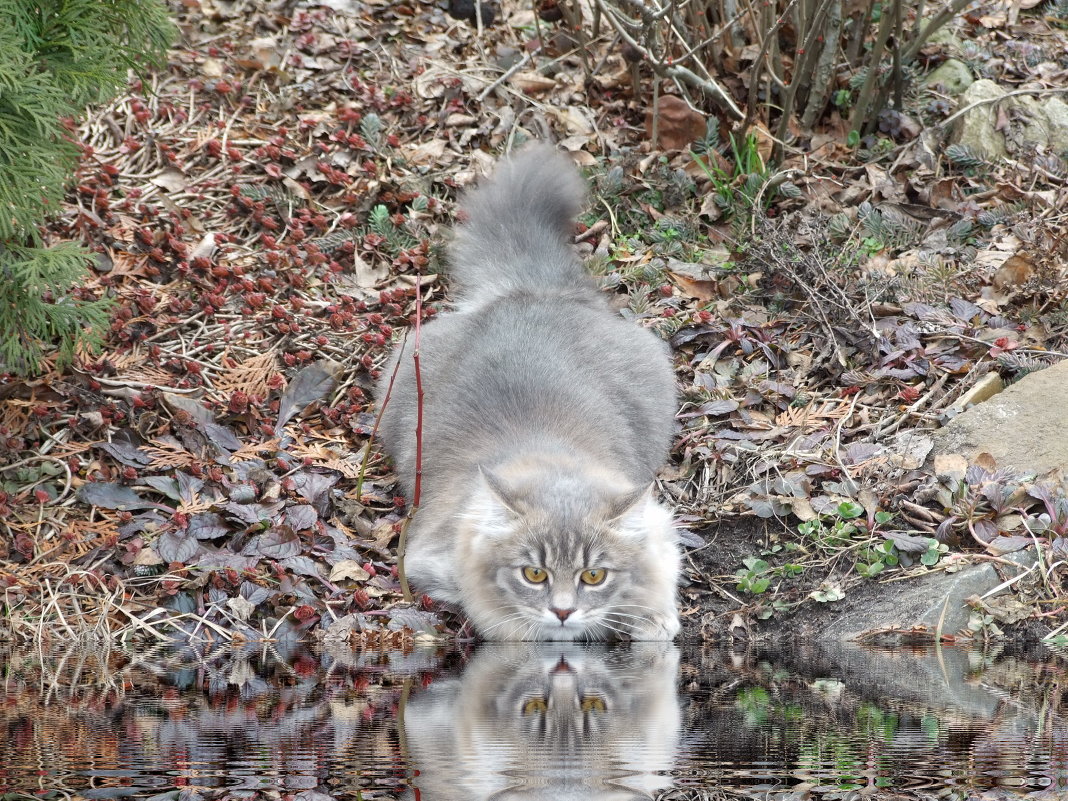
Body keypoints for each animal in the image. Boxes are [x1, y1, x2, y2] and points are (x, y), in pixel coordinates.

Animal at [378, 144, 674, 645]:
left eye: (594, 576)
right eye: (534, 575)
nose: (563, 611)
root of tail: (527, 290)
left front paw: (649, 617)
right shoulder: (430, 560)